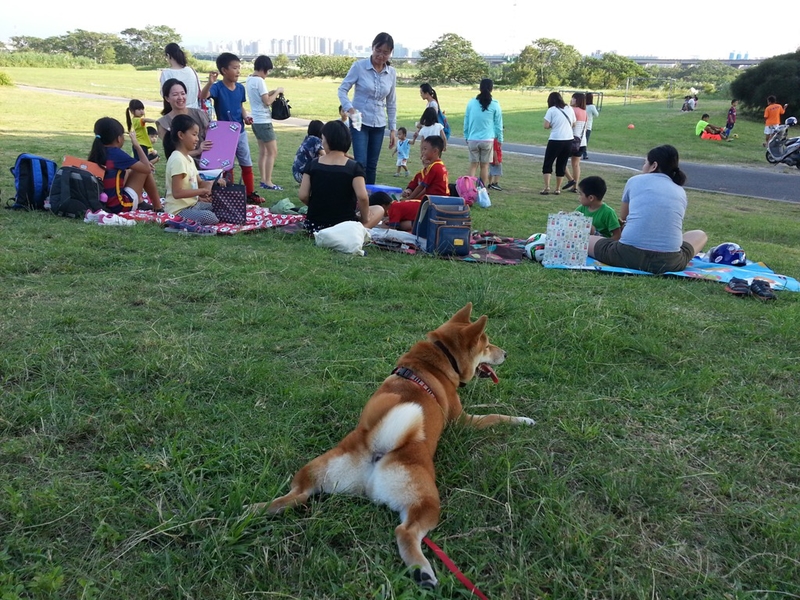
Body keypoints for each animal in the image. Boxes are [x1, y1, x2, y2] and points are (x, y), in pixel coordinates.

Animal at [253, 304, 536, 584]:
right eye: (487, 346)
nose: (506, 354)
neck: (436, 361)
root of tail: (378, 450)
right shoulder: (462, 421)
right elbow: (495, 415)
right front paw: (523, 420)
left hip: (317, 470)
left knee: (296, 495)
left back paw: (254, 509)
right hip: (426, 501)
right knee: (405, 531)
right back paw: (422, 570)